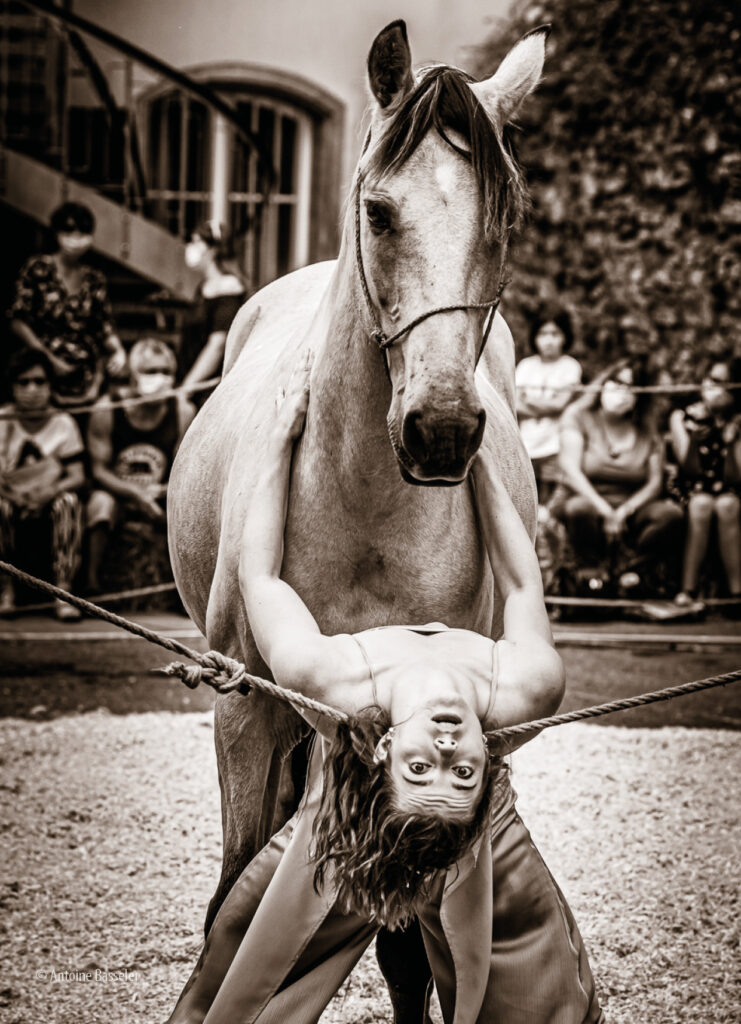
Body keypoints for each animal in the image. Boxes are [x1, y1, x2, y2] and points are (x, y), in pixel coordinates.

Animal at [167, 19, 548, 1019]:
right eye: (378, 212)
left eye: (506, 221)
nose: (442, 429)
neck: (369, 515)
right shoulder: (247, 716)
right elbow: (230, 899)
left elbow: (410, 945)